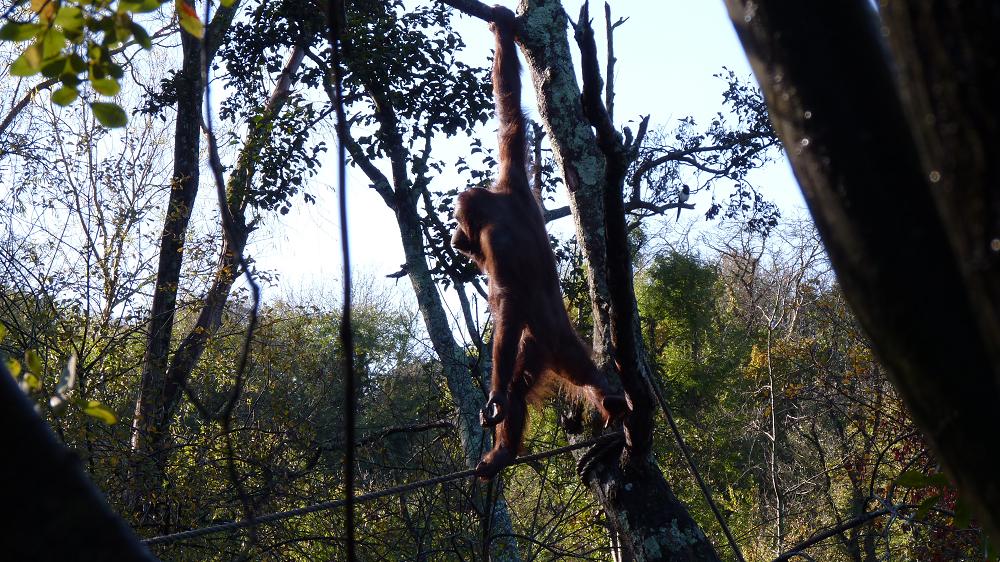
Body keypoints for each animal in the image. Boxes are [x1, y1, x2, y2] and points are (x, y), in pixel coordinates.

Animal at [451, 5, 630, 480]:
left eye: (459, 222)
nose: (455, 238)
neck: (498, 204)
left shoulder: (494, 239)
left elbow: (508, 298)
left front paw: (492, 396)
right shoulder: (512, 175)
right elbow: (510, 111)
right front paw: (500, 26)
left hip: (546, 343)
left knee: (527, 368)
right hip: (538, 349)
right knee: (539, 384)